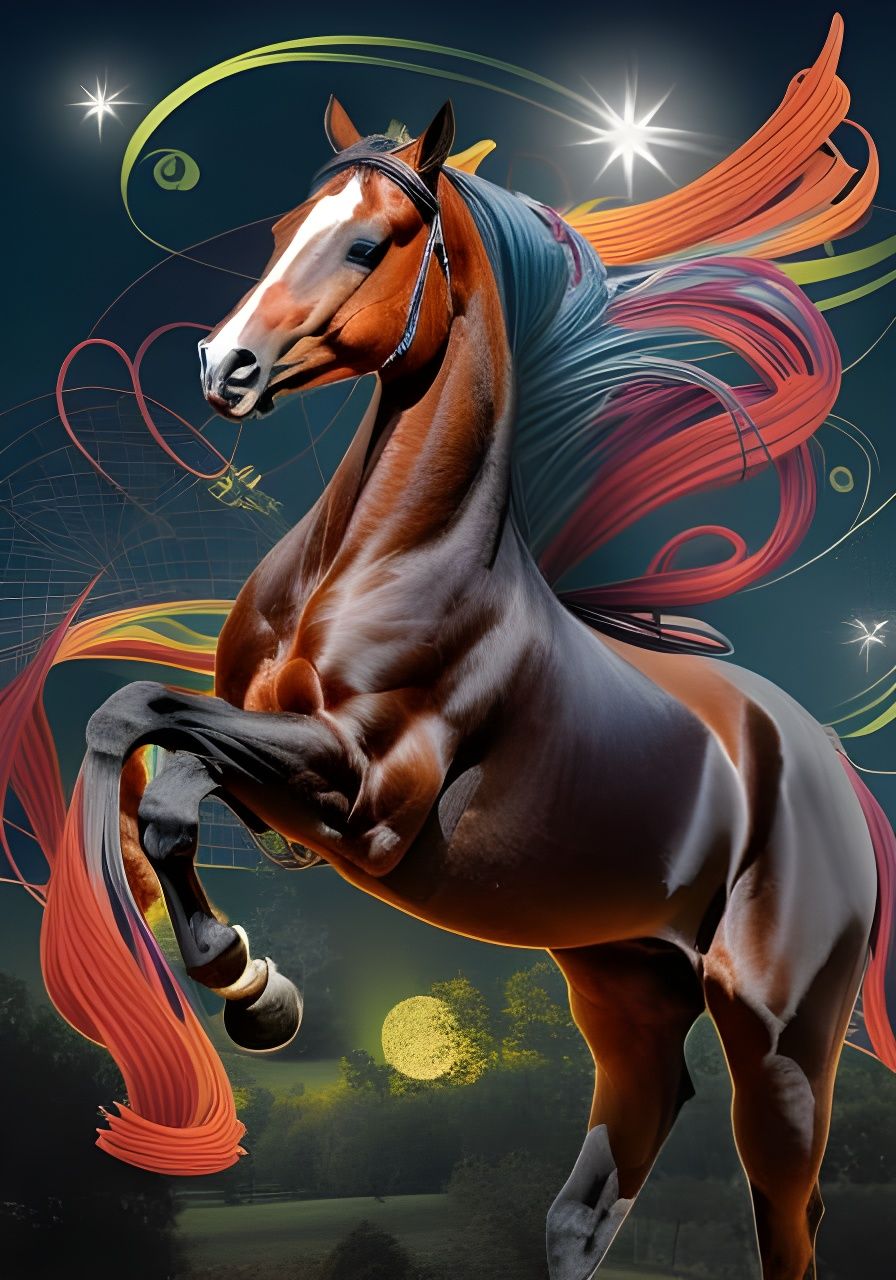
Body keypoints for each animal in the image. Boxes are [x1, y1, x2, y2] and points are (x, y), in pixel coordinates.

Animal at [23, 16, 894, 1280]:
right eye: (283, 229)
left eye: (368, 243)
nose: (222, 367)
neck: (371, 560)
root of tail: (818, 752)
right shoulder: (275, 781)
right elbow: (136, 743)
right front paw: (251, 980)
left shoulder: (363, 794)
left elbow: (163, 751)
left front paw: (243, 977)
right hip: (624, 991)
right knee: (593, 1195)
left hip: (778, 1031)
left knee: (786, 1207)